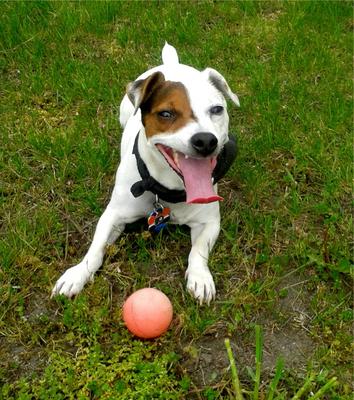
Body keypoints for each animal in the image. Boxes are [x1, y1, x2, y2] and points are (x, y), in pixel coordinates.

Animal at [51, 43, 241, 304]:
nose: (205, 141)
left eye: (217, 110)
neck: (168, 189)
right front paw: (77, 274)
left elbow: (198, 251)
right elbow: (96, 249)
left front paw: (200, 277)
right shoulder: (113, 216)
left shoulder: (209, 222)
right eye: (166, 114)